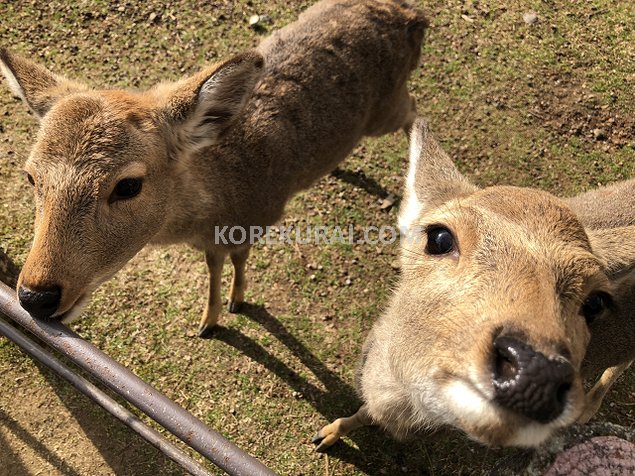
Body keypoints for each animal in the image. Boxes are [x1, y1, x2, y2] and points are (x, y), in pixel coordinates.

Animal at [1, 0, 428, 338]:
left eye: (127, 185)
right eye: (30, 175)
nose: (35, 296)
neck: (216, 206)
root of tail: (411, 14)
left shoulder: (256, 221)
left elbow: (238, 260)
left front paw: (235, 304)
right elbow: (213, 265)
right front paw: (209, 320)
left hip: (386, 111)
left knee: (414, 108)